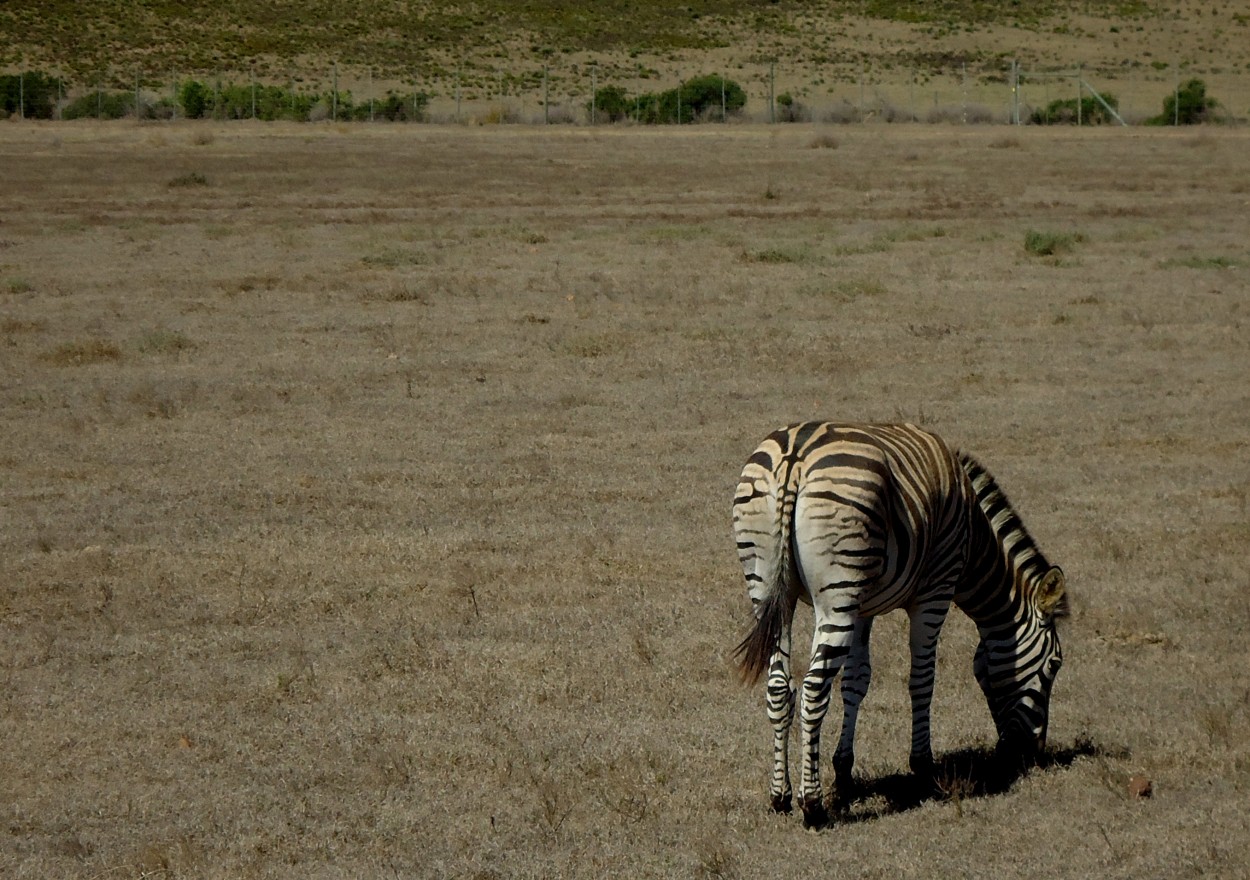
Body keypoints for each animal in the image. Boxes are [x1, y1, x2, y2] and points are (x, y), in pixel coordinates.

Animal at [730, 422, 1065, 830]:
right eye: (1054, 665)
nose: (1034, 753)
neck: (974, 538)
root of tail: (796, 453)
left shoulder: (863, 608)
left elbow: (856, 681)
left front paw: (844, 773)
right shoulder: (936, 590)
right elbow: (922, 680)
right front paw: (922, 767)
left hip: (768, 588)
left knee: (780, 685)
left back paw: (780, 796)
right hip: (837, 591)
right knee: (813, 690)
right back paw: (813, 805)